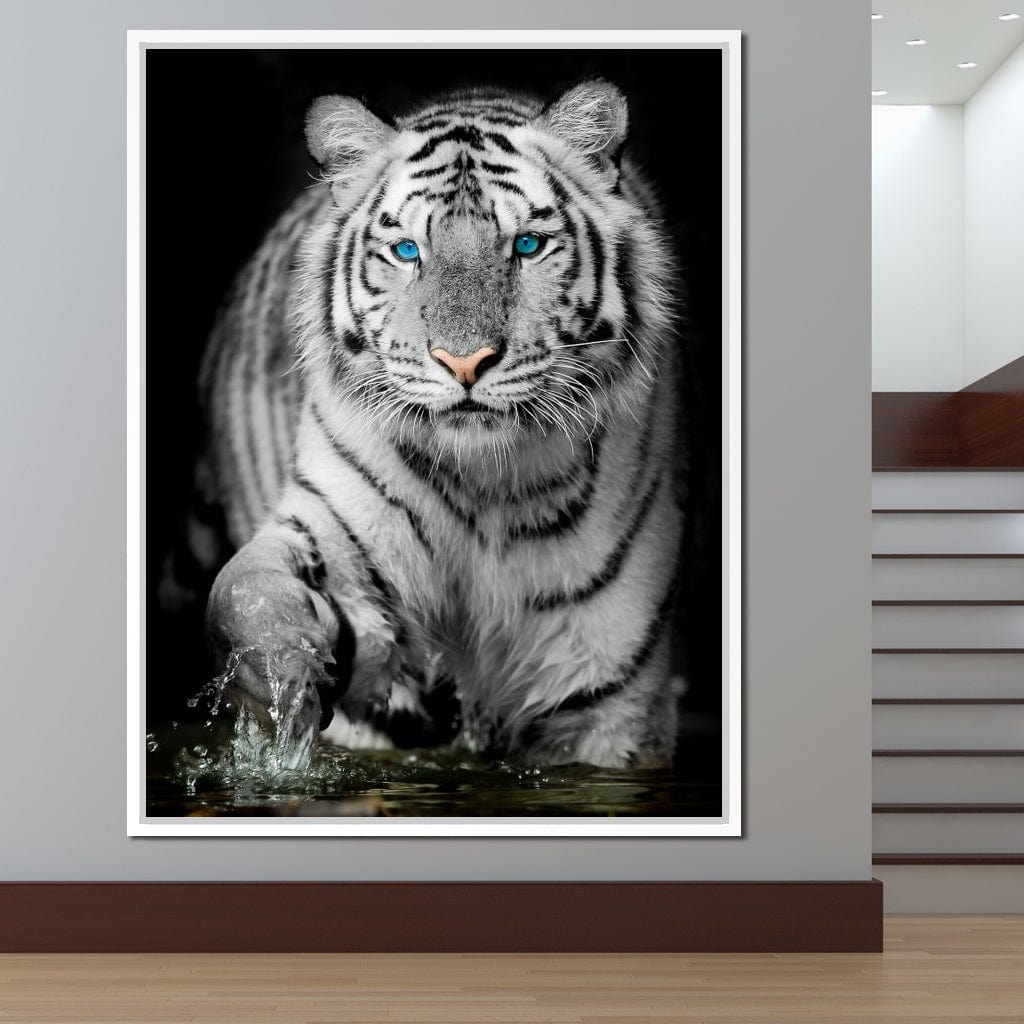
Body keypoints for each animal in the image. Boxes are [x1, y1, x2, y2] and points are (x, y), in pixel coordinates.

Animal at [197, 79, 686, 769]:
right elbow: (246, 591)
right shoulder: (331, 524)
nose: (464, 362)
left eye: (526, 246)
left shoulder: (610, 700)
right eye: (408, 251)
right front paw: (283, 675)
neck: (485, 486)